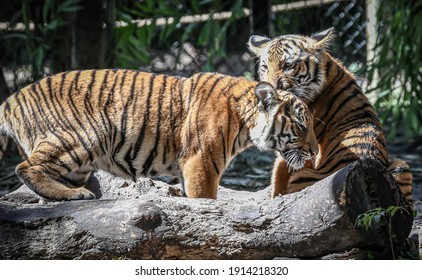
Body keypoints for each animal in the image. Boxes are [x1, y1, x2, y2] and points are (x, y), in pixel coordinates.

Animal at [0, 70, 316, 201]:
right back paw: (77, 195)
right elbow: (206, 199)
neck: (244, 119)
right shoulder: (201, 162)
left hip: (80, 161)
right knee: (24, 168)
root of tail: (11, 99)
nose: (314, 152)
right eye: (300, 128)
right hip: (83, 136)